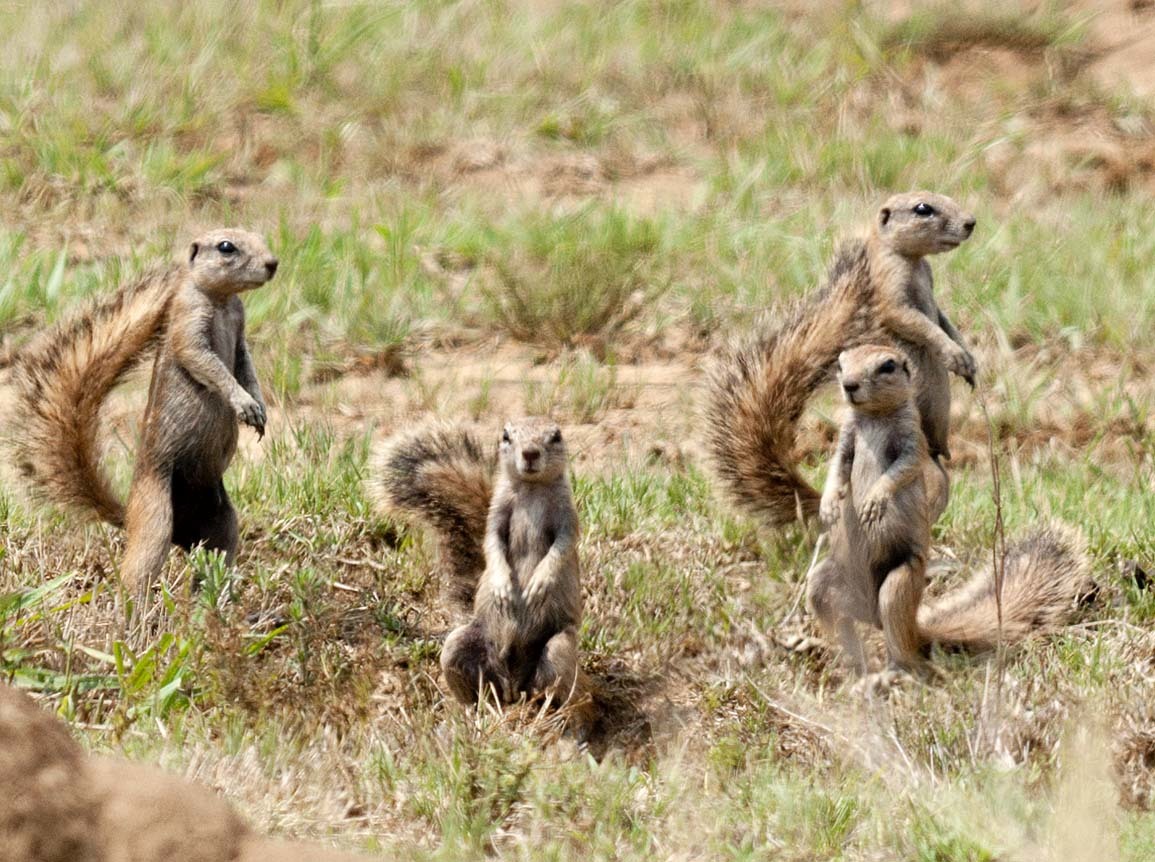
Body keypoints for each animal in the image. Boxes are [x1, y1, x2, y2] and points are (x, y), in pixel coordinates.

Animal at [10, 228, 274, 591]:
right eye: (226, 247)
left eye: (259, 236)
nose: (272, 264)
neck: (221, 301)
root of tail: (129, 516)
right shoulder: (188, 328)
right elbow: (209, 365)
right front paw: (244, 403)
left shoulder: (241, 338)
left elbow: (247, 368)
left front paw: (259, 409)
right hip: (156, 517)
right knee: (136, 571)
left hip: (223, 523)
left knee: (213, 557)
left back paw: (218, 594)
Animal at [369, 418, 582, 707]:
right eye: (506, 436)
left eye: (556, 435)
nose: (530, 453)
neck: (532, 488)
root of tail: (512, 686)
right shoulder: (497, 516)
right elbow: (491, 544)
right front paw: (502, 583)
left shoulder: (568, 518)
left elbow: (561, 548)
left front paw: (540, 582)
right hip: (459, 647)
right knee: (476, 686)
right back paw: (472, 708)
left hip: (557, 649)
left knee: (552, 686)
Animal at [706, 191, 979, 526]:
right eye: (923, 209)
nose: (970, 223)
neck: (913, 261)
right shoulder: (890, 289)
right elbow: (917, 322)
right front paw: (953, 354)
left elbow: (944, 320)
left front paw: (968, 358)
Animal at [803, 344, 1090, 679]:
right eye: (840, 364)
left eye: (887, 366)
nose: (849, 385)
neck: (875, 417)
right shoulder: (846, 439)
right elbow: (837, 468)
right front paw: (828, 506)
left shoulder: (913, 442)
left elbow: (901, 469)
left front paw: (875, 500)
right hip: (824, 582)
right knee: (840, 621)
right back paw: (854, 667)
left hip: (898, 583)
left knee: (906, 651)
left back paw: (893, 673)